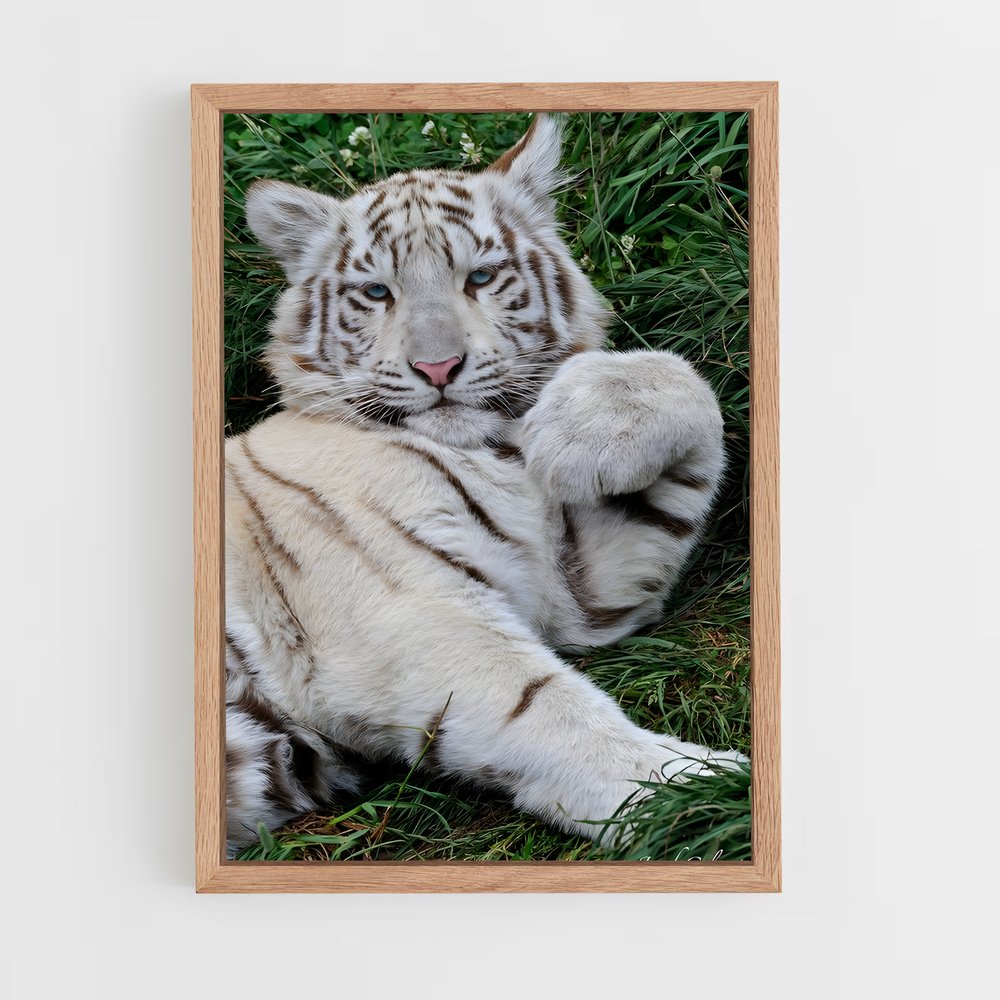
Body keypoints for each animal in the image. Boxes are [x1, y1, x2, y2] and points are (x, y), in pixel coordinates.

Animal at [225, 113, 747, 856]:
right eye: (378, 292)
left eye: (480, 276)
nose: (438, 367)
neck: (489, 448)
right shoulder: (406, 612)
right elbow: (546, 710)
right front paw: (698, 793)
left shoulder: (577, 596)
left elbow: (686, 380)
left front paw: (573, 432)